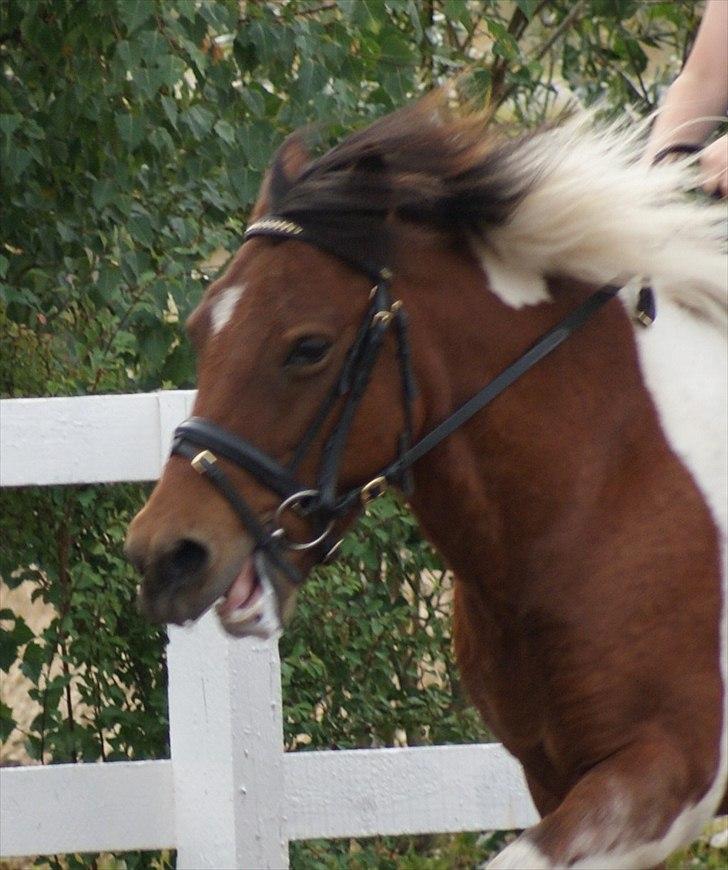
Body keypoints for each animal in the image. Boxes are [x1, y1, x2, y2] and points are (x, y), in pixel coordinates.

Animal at [125, 94, 727, 868]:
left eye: (309, 348)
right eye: (201, 330)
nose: (166, 557)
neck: (607, 487)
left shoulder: (669, 769)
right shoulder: (552, 774)